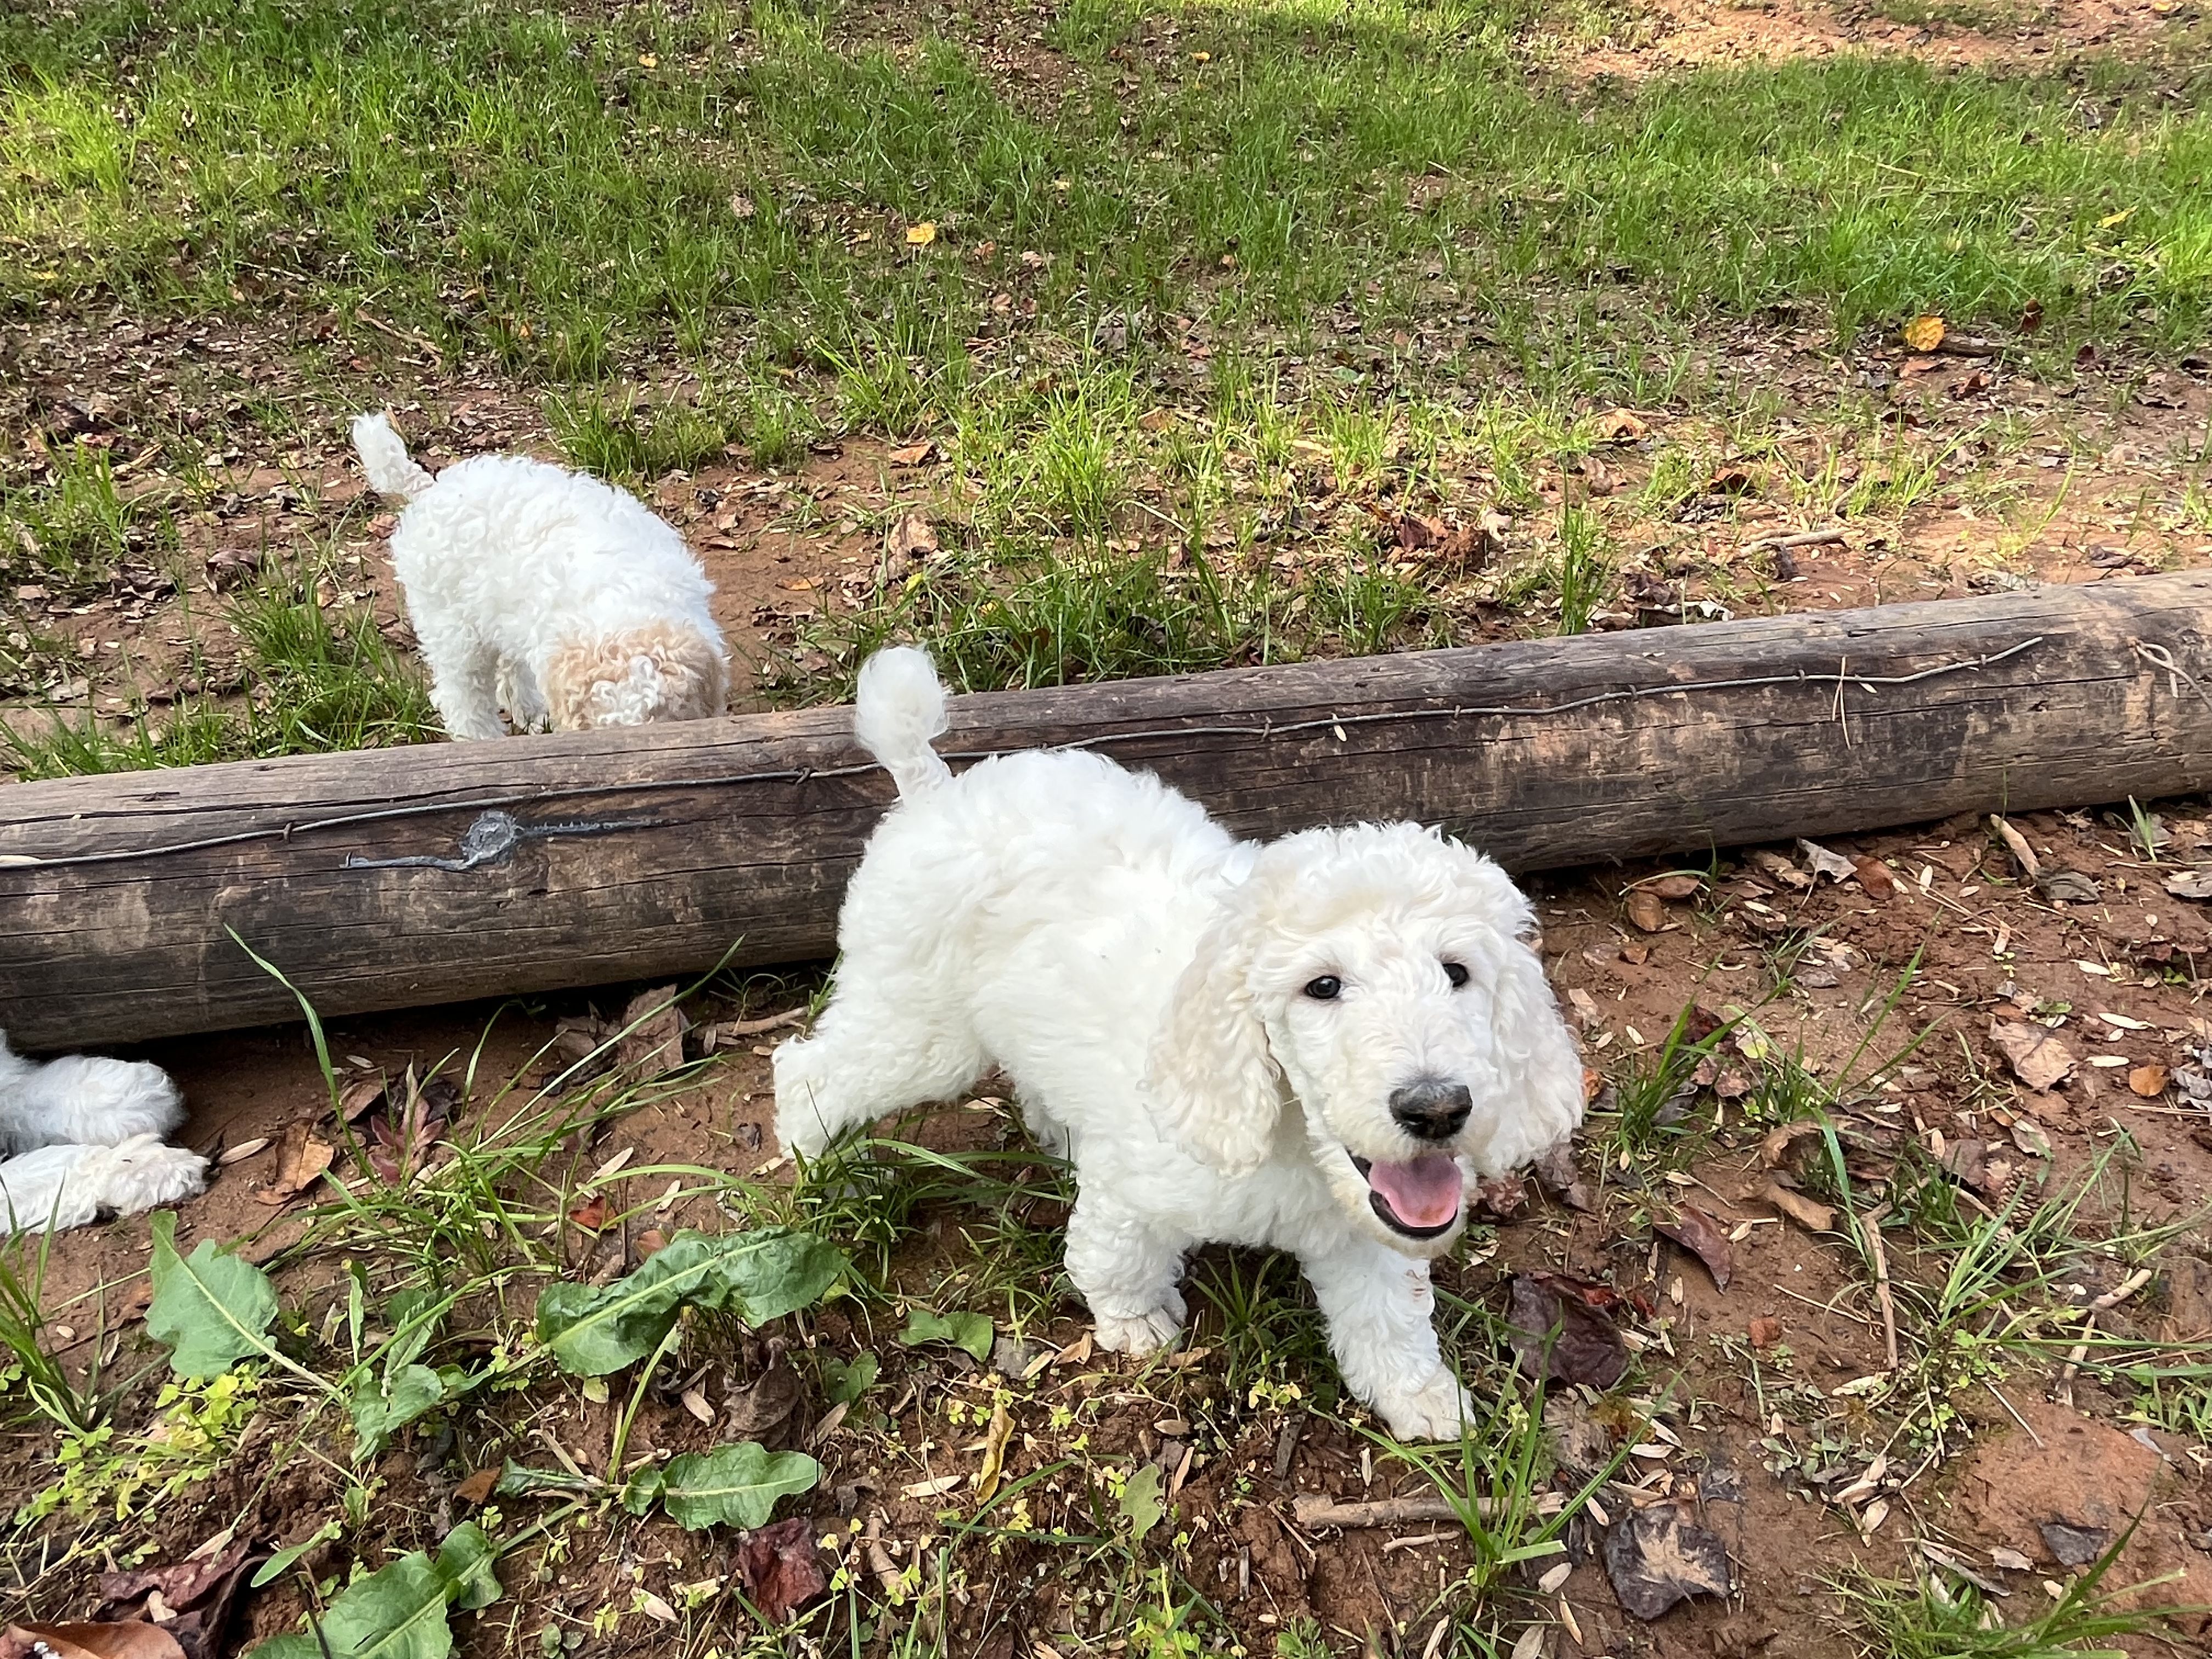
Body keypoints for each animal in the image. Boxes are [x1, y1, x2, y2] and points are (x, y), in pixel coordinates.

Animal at [778, 650, 1593, 1442]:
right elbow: (1115, 1252)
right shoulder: (1136, 1184)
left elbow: (1388, 1314)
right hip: (920, 1025)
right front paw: (1136, 1322)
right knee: (809, 1073)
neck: (1289, 1135)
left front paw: (1419, 1396)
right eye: (1322, 987)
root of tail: (932, 790)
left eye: (1457, 973)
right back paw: (826, 1178)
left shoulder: (1371, 1223)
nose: (1437, 1111)